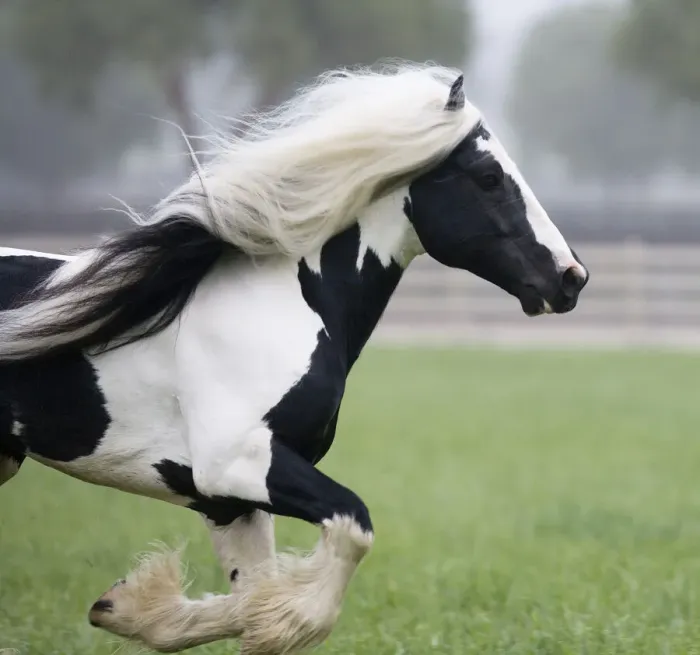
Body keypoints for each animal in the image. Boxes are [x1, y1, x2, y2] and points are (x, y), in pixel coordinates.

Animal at [0, 63, 588, 654]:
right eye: (489, 177)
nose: (570, 278)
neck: (282, 306)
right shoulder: (237, 465)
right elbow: (344, 540)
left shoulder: (227, 503)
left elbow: (250, 599)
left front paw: (125, 606)